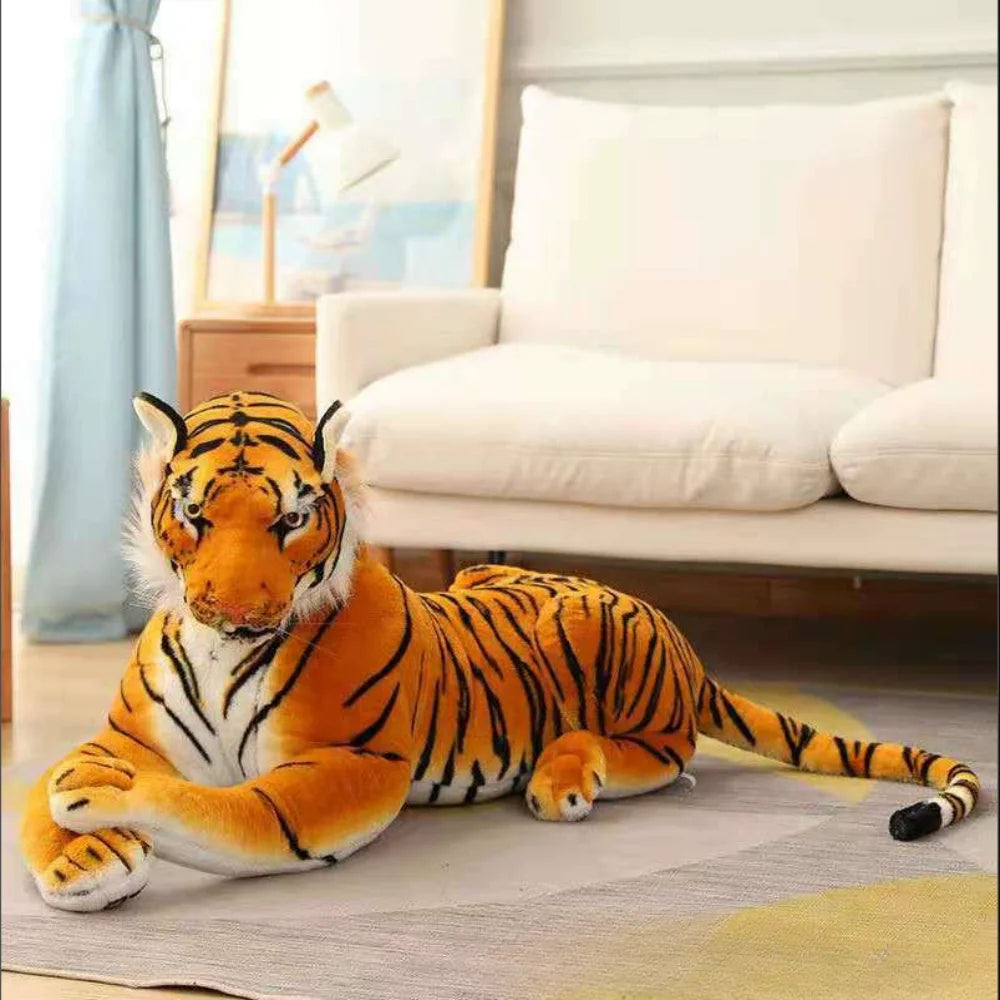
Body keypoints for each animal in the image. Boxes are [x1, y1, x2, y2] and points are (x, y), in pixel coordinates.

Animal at [20, 390, 981, 911]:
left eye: (291, 519)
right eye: (193, 513)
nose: (234, 612)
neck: (222, 657)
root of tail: (678, 636)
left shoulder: (351, 762)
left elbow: (230, 809)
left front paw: (103, 797)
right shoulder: (128, 730)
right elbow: (38, 797)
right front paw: (84, 856)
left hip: (610, 653)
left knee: (662, 755)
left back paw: (564, 780)